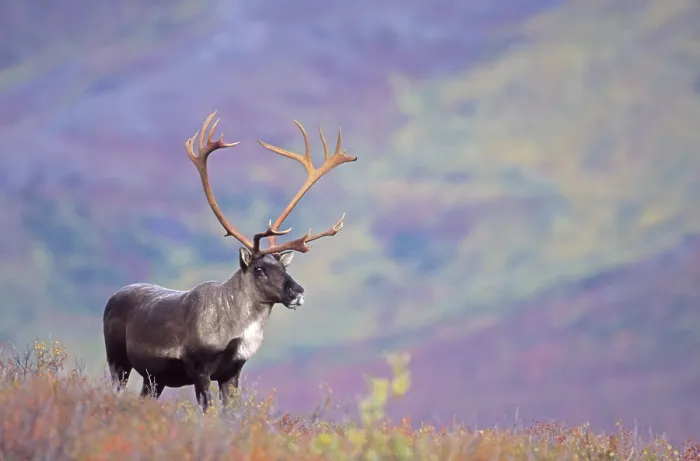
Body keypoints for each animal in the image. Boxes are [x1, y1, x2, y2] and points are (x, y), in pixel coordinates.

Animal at [102, 111, 357, 412]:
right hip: (118, 361)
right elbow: (208, 412)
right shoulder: (199, 369)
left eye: (284, 266)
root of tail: (113, 296)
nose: (298, 291)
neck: (234, 330)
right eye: (259, 269)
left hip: (154, 377)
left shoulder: (232, 373)